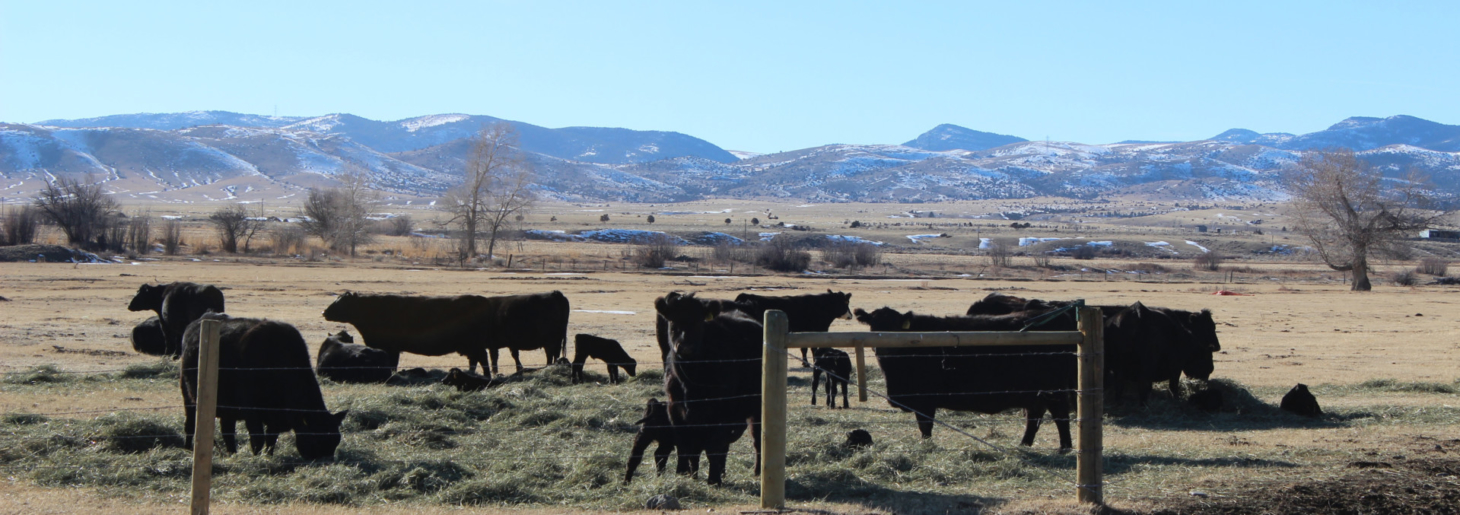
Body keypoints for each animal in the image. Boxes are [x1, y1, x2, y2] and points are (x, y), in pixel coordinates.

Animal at [180, 313, 347, 459]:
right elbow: (258, 439)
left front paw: (268, 456)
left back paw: (232, 453)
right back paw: (188, 449)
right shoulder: (251, 411)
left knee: (227, 430)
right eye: (317, 440)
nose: (327, 461)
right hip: (188, 395)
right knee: (190, 424)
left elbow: (271, 439)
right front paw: (256, 459)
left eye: (336, 440)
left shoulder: (274, 418)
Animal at [655, 291, 763, 485]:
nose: (686, 347)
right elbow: (686, 446)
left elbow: (714, 447)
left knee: (756, 438)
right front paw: (688, 474)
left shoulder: (721, 412)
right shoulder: (675, 409)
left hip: (757, 405)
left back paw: (757, 471)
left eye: (699, 322)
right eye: (673, 322)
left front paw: (713, 480)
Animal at [854, 307, 1077, 451]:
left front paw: (926, 446)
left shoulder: (925, 399)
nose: (885, 348)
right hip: (1036, 392)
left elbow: (925, 426)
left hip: (1053, 389)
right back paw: (1024, 445)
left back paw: (1065, 447)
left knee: (1060, 415)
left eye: (895, 327)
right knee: (1035, 416)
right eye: (874, 325)